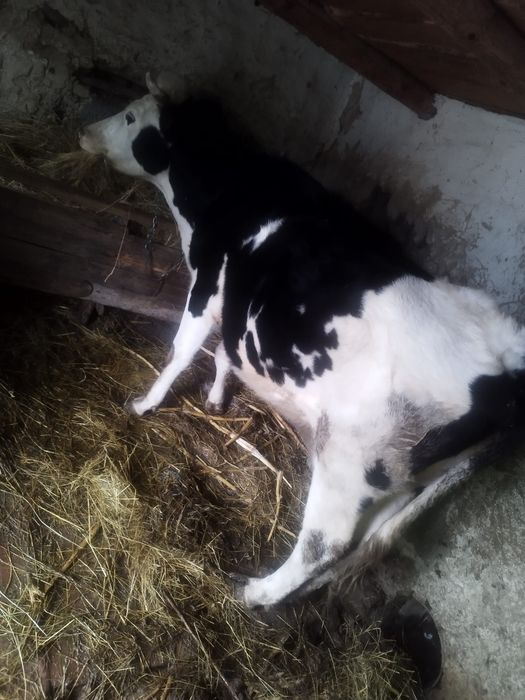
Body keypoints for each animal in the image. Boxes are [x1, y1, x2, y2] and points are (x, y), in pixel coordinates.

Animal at [80, 74, 525, 608]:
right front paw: (216, 399)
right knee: (366, 537)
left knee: (325, 542)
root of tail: (506, 357)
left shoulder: (207, 283)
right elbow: (226, 352)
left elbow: (182, 349)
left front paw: (145, 403)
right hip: (402, 476)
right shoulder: (236, 301)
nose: (83, 133)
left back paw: (257, 593)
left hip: (348, 459)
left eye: (130, 116)